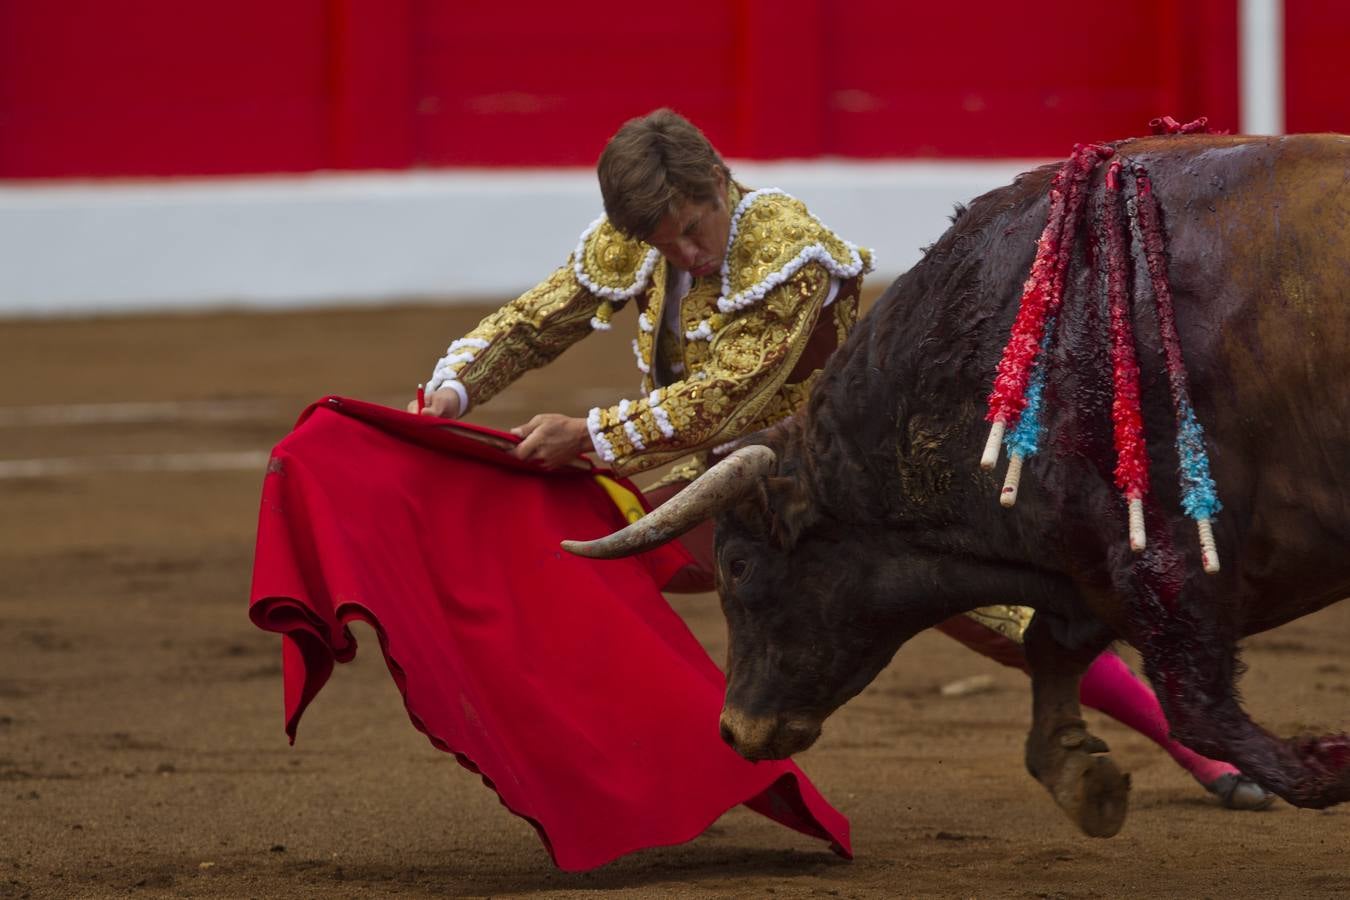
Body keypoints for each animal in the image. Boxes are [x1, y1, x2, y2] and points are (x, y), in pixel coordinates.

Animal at [564, 132, 1350, 836]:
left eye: (737, 564)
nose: (736, 732)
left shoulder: (1165, 557)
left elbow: (1196, 702)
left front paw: (1328, 762)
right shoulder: (1088, 569)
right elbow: (1052, 650)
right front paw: (1083, 776)